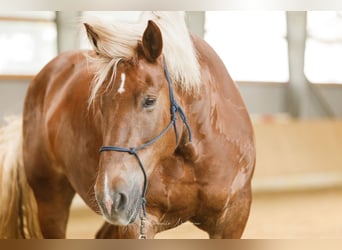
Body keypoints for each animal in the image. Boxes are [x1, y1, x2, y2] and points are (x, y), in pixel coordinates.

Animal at [0, 12, 254, 239]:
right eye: (99, 103)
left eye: (149, 100)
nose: (109, 196)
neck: (194, 157)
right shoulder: (139, 223)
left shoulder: (233, 219)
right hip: (51, 200)